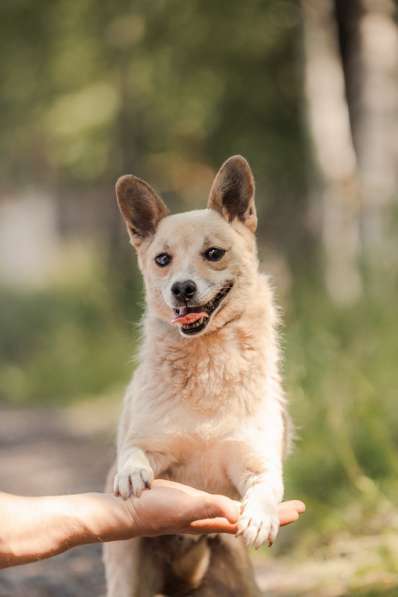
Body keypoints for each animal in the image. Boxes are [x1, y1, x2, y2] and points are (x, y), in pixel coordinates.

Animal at [102, 156, 290, 592]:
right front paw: (132, 473)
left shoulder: (256, 462)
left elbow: (267, 486)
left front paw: (260, 516)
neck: (207, 359)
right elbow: (133, 451)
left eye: (214, 253)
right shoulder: (150, 443)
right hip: (127, 579)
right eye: (162, 260)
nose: (182, 289)